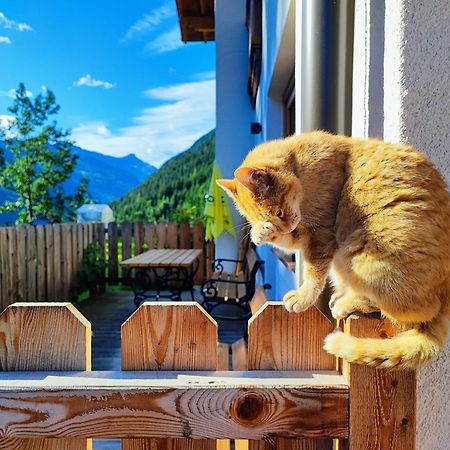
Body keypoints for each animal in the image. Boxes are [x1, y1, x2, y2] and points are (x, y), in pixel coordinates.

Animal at [218, 130, 450, 370]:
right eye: (270, 218)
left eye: (279, 212)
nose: (285, 226)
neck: (299, 164)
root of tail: (445, 292)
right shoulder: (302, 233)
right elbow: (284, 240)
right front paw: (261, 232)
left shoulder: (320, 234)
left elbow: (313, 273)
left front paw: (302, 297)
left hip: (359, 258)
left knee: (409, 310)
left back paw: (348, 302)